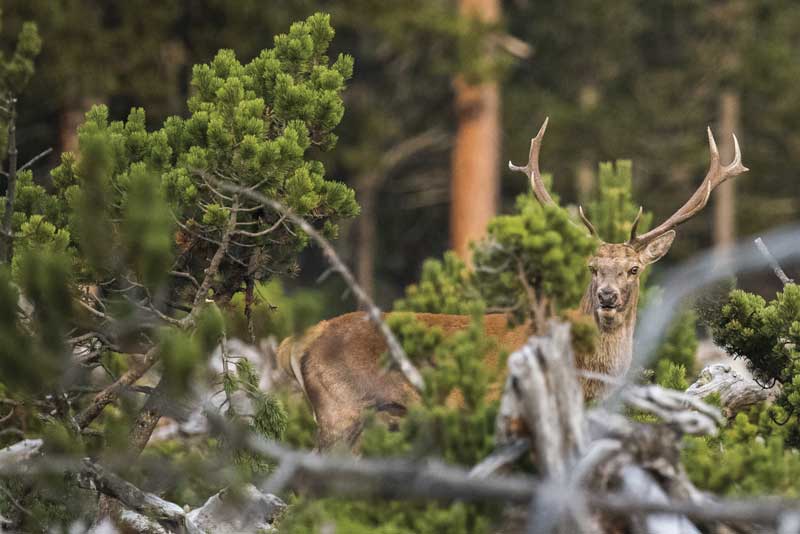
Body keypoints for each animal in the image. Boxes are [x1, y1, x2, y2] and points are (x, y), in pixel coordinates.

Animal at [278, 120, 748, 452]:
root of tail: (300, 340)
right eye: (592, 267)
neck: (588, 377)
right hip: (339, 410)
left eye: (633, 269)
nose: (607, 297)